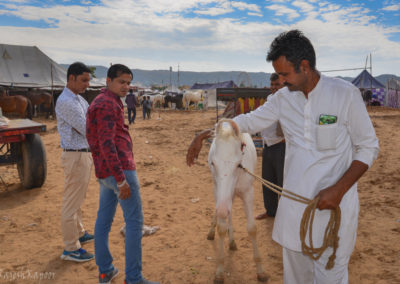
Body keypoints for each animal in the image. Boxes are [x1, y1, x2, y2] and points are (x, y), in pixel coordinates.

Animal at [208, 118, 268, 282]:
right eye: (213, 163)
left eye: (238, 165)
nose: (222, 210)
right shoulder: (218, 192)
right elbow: (221, 226)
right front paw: (220, 271)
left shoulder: (248, 193)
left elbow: (252, 228)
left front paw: (261, 271)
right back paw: (214, 232)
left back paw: (232, 241)